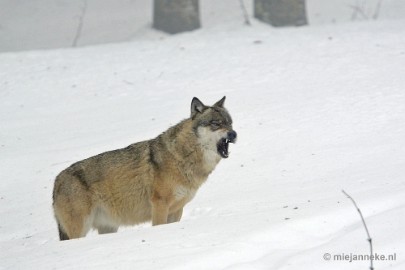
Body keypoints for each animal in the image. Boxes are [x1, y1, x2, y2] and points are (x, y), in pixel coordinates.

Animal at [51, 96, 235, 240]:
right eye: (216, 123)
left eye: (230, 123)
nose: (234, 134)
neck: (182, 156)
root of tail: (56, 182)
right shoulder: (160, 205)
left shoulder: (177, 210)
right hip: (80, 230)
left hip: (108, 228)